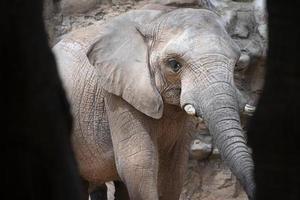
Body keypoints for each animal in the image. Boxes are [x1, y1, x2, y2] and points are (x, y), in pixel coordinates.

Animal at [53, 6, 255, 200]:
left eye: (237, 64)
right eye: (174, 65)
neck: (155, 21)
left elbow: (174, 169)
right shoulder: (119, 94)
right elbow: (138, 164)